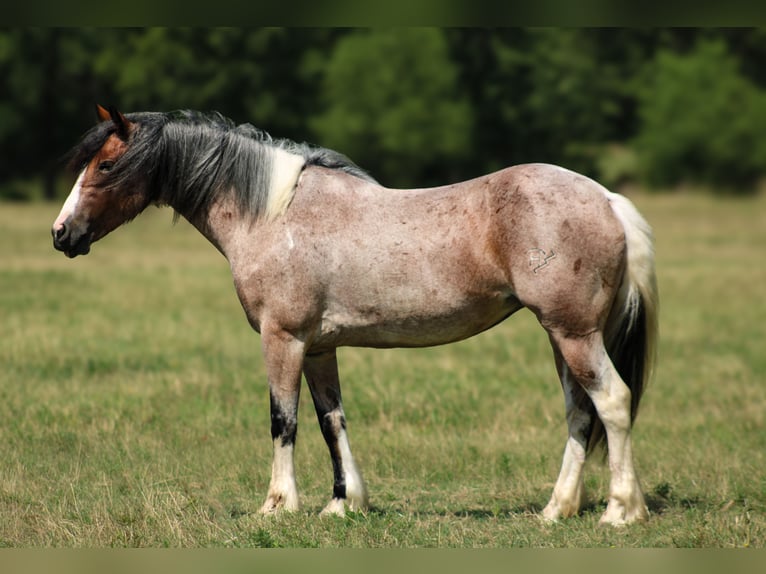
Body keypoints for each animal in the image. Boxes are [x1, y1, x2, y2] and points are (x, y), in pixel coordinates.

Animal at [52, 105, 658, 525]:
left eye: (107, 164)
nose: (61, 234)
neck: (274, 214)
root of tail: (607, 199)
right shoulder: (320, 347)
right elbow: (331, 420)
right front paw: (344, 503)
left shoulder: (283, 339)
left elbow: (283, 420)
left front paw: (277, 506)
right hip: (562, 336)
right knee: (580, 413)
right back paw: (556, 510)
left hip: (574, 333)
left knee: (612, 401)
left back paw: (620, 512)